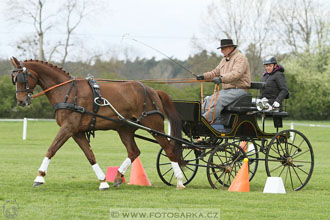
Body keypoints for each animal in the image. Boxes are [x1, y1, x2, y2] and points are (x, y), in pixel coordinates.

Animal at [10, 57, 186, 190]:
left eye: (22, 78)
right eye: (14, 79)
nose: (21, 101)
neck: (67, 91)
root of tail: (153, 91)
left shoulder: (68, 128)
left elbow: (51, 149)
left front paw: (39, 177)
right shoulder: (77, 132)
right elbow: (90, 155)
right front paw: (103, 181)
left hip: (153, 125)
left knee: (169, 149)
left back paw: (179, 181)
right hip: (124, 129)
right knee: (134, 151)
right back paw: (118, 177)